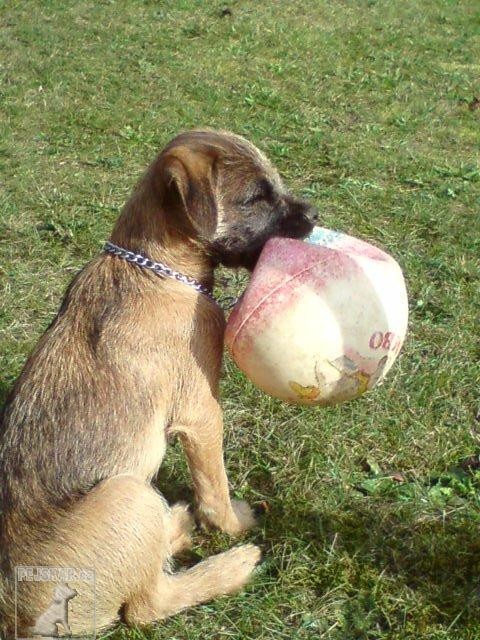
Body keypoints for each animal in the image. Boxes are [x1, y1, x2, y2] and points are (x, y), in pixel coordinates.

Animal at [0, 129, 318, 636]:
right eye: (255, 198)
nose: (315, 216)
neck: (156, 266)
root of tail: (20, 618)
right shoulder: (202, 412)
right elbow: (215, 487)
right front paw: (234, 524)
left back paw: (177, 525)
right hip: (128, 495)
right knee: (147, 605)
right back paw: (231, 565)